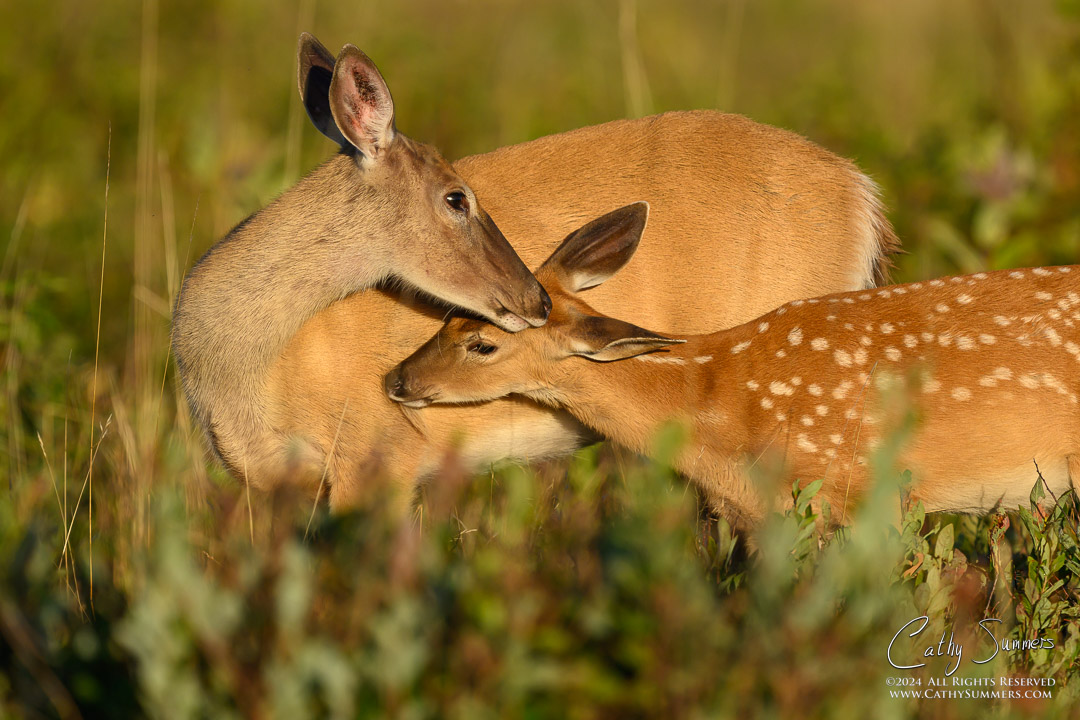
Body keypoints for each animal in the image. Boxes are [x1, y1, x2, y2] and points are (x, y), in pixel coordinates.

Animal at [176, 33, 900, 513]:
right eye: (457, 198)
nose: (534, 300)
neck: (254, 371)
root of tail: (861, 192)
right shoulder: (267, 483)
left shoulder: (379, 452)